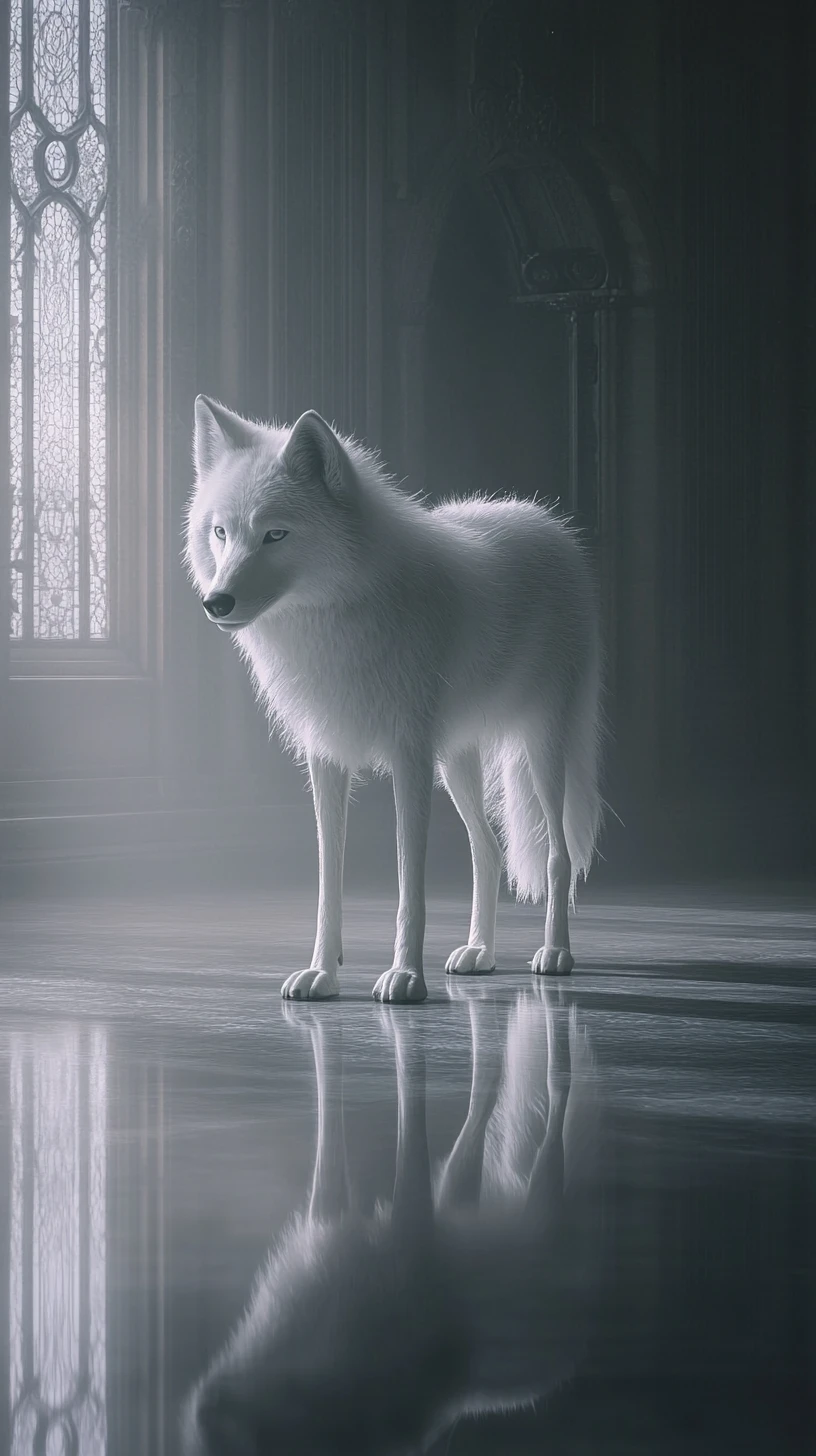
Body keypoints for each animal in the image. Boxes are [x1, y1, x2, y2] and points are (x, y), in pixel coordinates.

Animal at [181, 987, 603, 1455]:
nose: (204, 1404)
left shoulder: (409, 1228)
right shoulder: (333, 1224)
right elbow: (330, 1119)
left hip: (540, 1188)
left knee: (555, 1102)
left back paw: (555, 1043)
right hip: (456, 1190)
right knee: (486, 1093)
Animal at [185, 398, 603, 1003]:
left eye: (275, 535)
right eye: (221, 532)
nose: (216, 602)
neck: (340, 614)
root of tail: (551, 527)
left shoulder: (410, 759)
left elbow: (410, 887)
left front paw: (406, 977)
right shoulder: (327, 757)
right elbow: (328, 882)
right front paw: (323, 972)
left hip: (539, 750)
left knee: (557, 855)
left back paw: (556, 954)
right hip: (457, 763)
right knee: (488, 850)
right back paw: (480, 953)